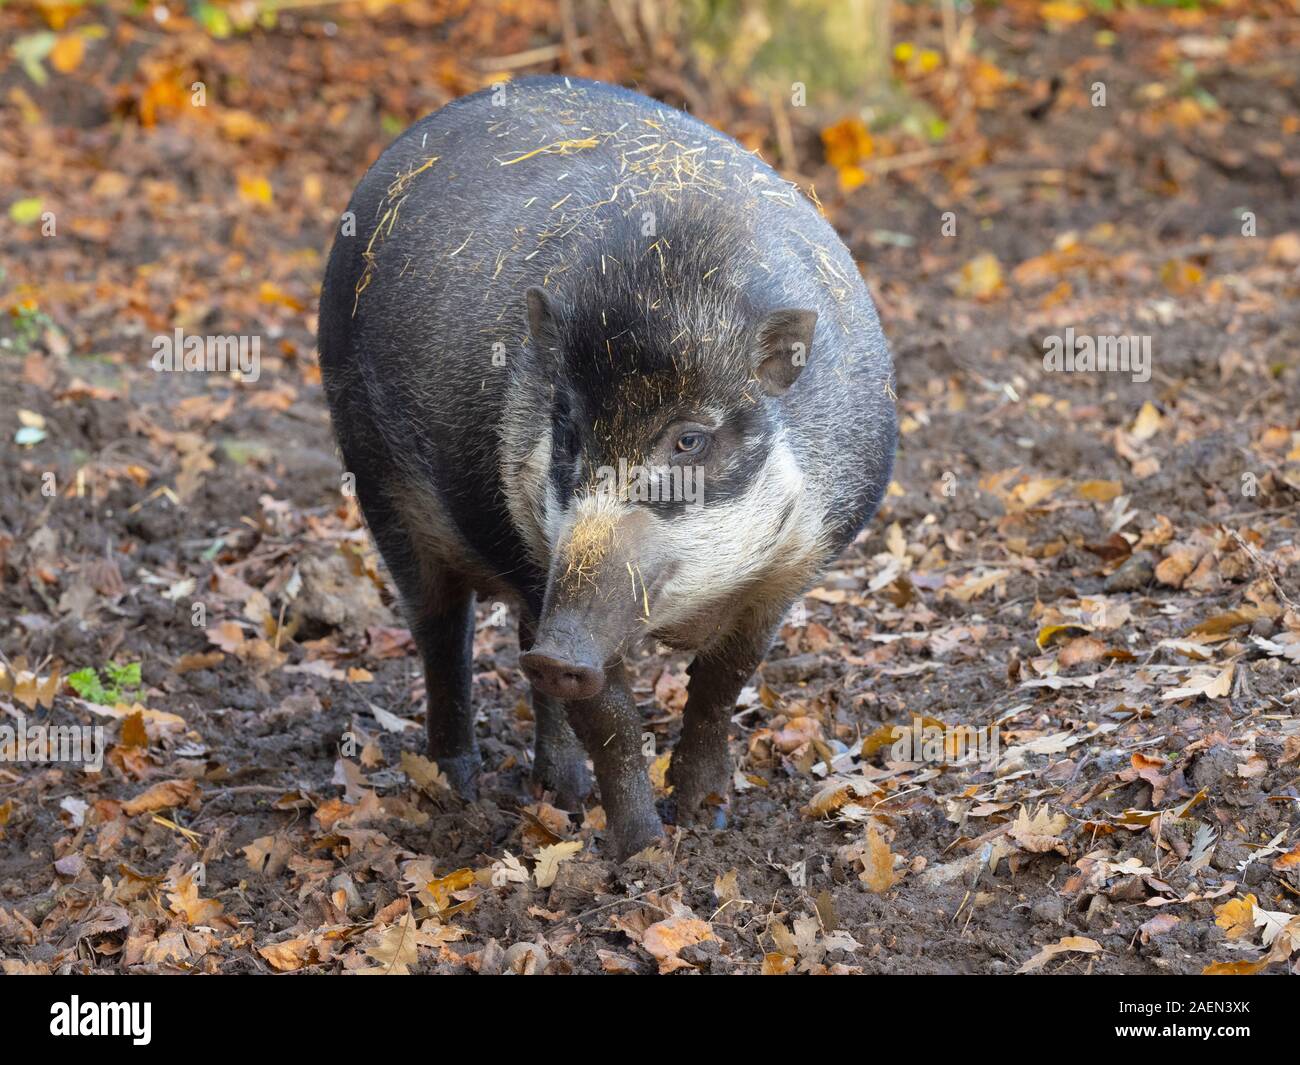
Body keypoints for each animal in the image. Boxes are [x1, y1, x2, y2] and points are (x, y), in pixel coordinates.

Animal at [318, 76, 896, 860]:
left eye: (689, 441)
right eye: (566, 432)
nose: (564, 651)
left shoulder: (790, 570)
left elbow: (722, 685)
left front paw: (706, 817)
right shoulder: (548, 561)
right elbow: (612, 718)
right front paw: (645, 854)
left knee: (515, 641)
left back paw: (559, 792)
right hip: (379, 484)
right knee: (443, 632)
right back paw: (461, 786)